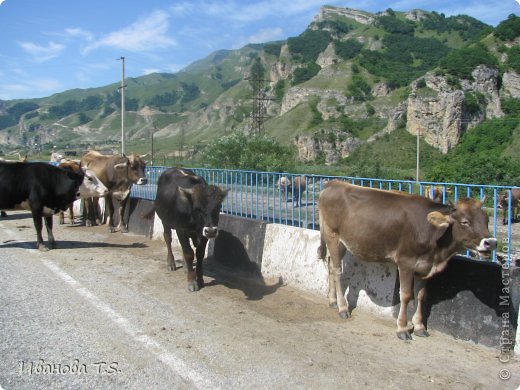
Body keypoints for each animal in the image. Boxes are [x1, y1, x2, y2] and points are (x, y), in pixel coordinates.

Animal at [316, 181, 496, 340]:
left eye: (487, 220)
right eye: (465, 222)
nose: (491, 242)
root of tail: (333, 183)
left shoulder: (424, 266)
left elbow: (421, 296)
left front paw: (419, 326)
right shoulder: (406, 262)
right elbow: (406, 295)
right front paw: (402, 328)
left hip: (341, 242)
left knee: (331, 266)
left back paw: (332, 300)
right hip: (332, 235)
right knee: (337, 271)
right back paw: (342, 307)